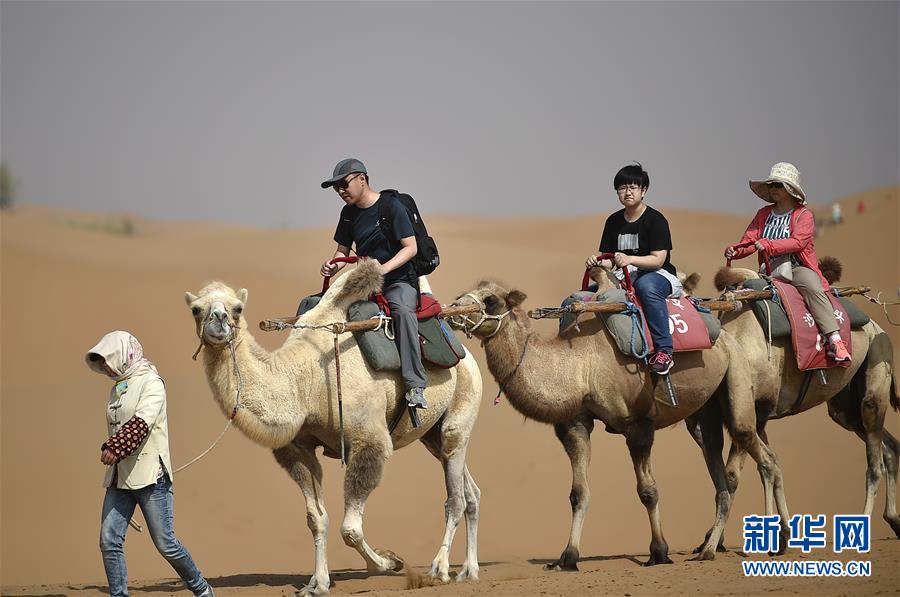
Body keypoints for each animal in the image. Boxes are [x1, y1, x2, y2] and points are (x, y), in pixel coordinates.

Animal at [183, 260, 486, 592]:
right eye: (196, 309)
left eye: (237, 308)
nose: (219, 321)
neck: (305, 382)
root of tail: (465, 354)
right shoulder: (298, 448)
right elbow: (317, 518)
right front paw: (317, 583)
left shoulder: (369, 440)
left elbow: (350, 528)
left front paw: (390, 562)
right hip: (432, 436)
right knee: (470, 492)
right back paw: (469, 570)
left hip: (461, 409)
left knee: (455, 496)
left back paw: (440, 569)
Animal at [450, 272, 788, 564]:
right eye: (464, 293)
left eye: (490, 300)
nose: (453, 309)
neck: (580, 365)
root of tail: (725, 335)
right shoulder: (575, 423)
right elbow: (578, 492)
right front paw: (568, 557)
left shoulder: (638, 424)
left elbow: (648, 491)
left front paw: (659, 552)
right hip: (706, 410)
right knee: (719, 463)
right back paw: (714, 546)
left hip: (738, 374)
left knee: (757, 450)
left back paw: (760, 544)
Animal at [684, 264, 896, 556]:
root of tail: (876, 325)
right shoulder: (752, 417)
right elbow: (770, 466)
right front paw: (782, 535)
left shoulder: (756, 409)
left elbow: (736, 474)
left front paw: (714, 543)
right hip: (846, 405)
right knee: (888, 446)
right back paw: (894, 520)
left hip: (876, 363)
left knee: (874, 461)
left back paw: (861, 531)